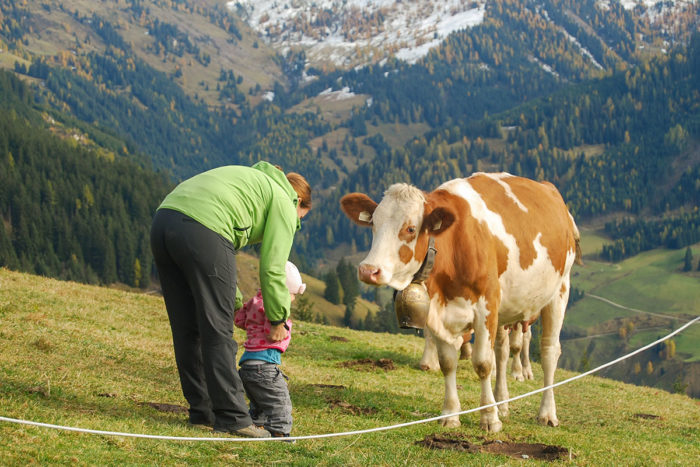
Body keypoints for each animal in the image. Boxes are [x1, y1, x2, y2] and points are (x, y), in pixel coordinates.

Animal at [342, 174, 584, 434]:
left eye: (410, 228)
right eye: (373, 224)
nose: (368, 270)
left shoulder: (486, 306)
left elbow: (483, 363)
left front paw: (489, 418)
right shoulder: (439, 312)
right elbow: (448, 363)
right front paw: (450, 414)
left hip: (559, 290)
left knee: (549, 351)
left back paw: (546, 413)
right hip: (507, 307)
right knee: (502, 351)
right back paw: (503, 403)